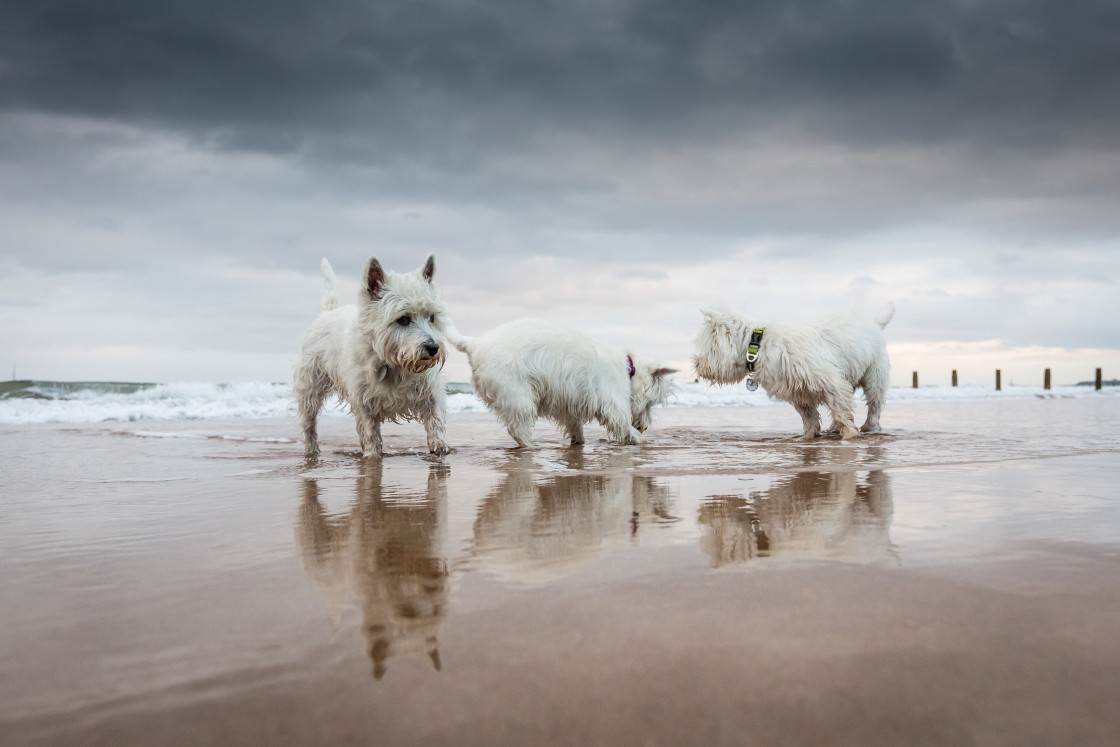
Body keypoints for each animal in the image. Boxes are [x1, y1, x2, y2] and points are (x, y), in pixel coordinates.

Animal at [293, 254, 450, 459]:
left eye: (431, 317)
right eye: (403, 319)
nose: (433, 348)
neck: (395, 363)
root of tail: (327, 312)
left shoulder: (430, 389)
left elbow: (435, 418)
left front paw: (439, 446)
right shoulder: (364, 400)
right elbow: (370, 432)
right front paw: (372, 455)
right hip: (310, 386)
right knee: (308, 421)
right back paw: (312, 450)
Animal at [441, 318, 676, 447]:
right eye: (651, 403)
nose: (645, 427)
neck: (629, 370)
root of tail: (475, 344)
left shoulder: (569, 403)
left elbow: (574, 425)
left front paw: (578, 442)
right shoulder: (613, 404)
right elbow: (622, 423)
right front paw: (639, 439)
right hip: (518, 395)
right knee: (517, 429)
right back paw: (531, 446)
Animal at [689, 302, 891, 441]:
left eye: (708, 349)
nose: (696, 364)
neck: (758, 346)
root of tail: (873, 323)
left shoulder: (831, 382)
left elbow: (841, 410)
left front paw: (850, 434)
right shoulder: (797, 392)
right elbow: (809, 417)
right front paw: (807, 437)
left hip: (874, 375)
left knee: (874, 403)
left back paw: (870, 427)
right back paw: (834, 429)